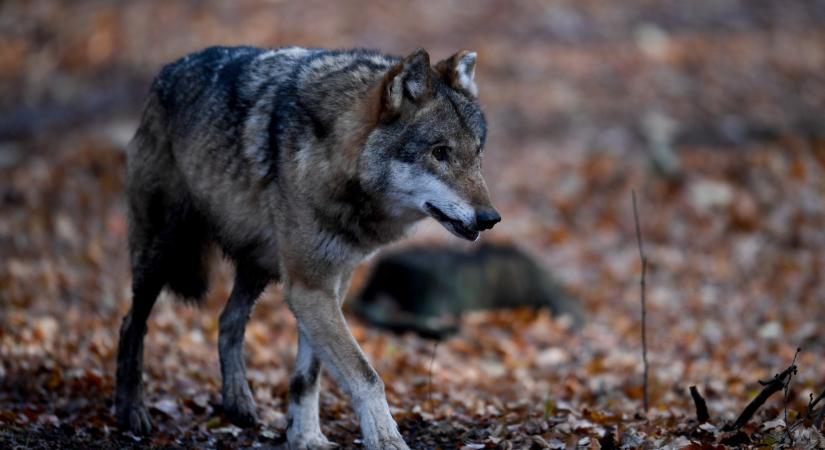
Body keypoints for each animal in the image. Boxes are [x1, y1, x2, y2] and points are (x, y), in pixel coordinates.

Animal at [116, 46, 498, 450]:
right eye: (439, 152)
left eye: (477, 153)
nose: (490, 218)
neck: (334, 157)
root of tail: (168, 70)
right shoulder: (309, 287)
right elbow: (366, 375)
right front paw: (385, 438)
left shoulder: (332, 284)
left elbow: (309, 375)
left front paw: (306, 437)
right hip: (163, 252)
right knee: (131, 325)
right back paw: (131, 412)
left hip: (260, 267)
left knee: (228, 321)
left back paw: (238, 402)